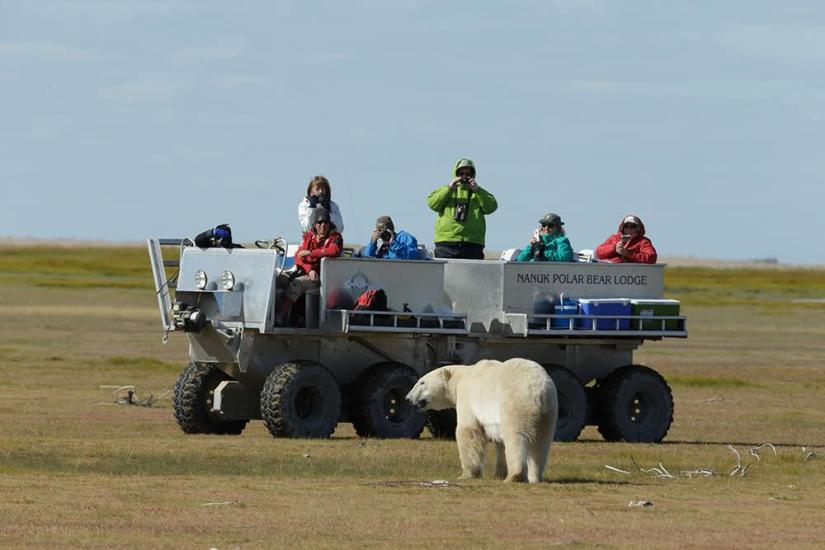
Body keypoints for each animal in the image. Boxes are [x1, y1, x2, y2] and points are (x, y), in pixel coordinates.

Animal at [406, 358, 558, 483]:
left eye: (422, 382)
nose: (407, 398)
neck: (461, 377)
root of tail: (537, 391)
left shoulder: (468, 397)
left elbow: (468, 431)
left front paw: (466, 474)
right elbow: (499, 442)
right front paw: (498, 474)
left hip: (515, 403)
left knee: (515, 438)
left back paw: (514, 476)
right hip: (548, 411)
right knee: (542, 443)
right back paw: (535, 477)